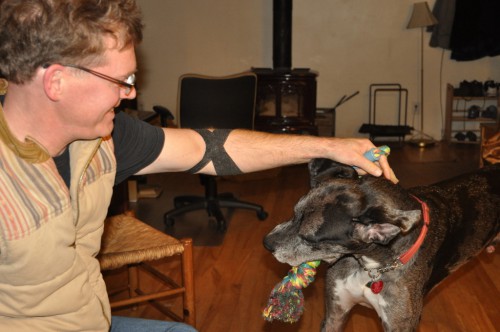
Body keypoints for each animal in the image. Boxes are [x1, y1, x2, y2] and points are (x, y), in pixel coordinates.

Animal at [264, 160, 498, 330]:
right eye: (294, 213)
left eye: (309, 238)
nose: (266, 243)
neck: (370, 267)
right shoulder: (335, 314)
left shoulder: (399, 324)